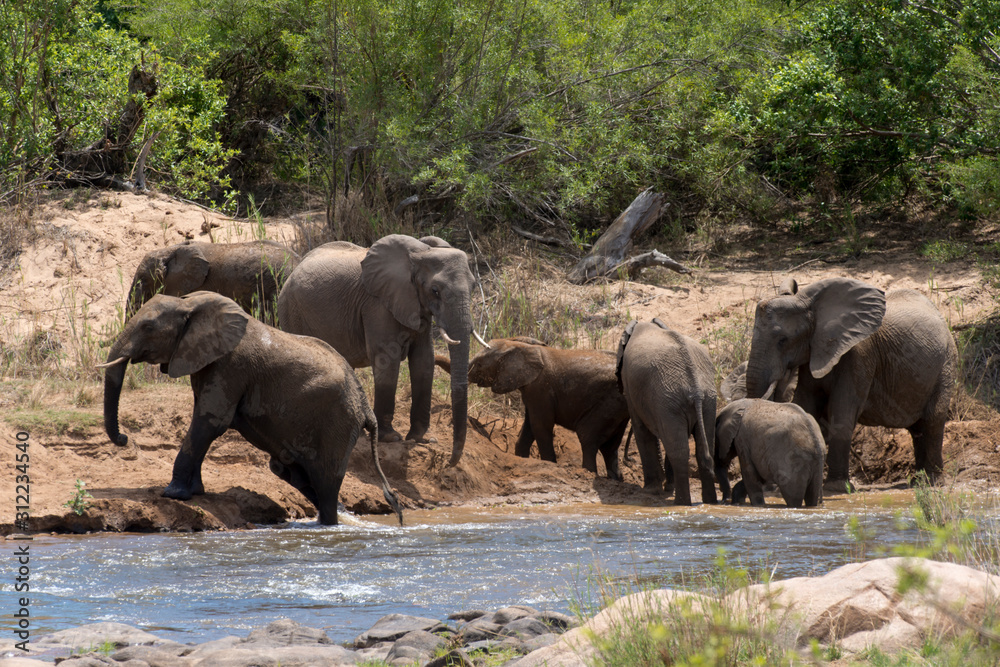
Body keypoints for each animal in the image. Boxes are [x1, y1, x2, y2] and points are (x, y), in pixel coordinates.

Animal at [100, 291, 402, 526]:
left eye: (148, 327)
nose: (124, 438)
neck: (189, 304)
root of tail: (366, 408)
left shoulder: (231, 365)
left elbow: (210, 421)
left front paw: (173, 494)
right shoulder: (207, 361)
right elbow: (203, 422)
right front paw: (195, 493)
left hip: (338, 424)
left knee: (326, 482)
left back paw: (328, 523)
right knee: (291, 472)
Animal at [277, 234, 488, 466]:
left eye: (474, 286)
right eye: (435, 290)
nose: (449, 462)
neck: (420, 253)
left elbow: (424, 360)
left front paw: (419, 438)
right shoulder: (376, 304)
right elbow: (387, 358)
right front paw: (391, 438)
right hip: (290, 310)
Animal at [465, 337, 629, 479]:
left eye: (479, 364)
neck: (520, 346)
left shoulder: (540, 388)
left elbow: (540, 425)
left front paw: (549, 464)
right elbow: (529, 427)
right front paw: (522, 459)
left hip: (607, 403)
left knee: (587, 437)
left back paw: (589, 473)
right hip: (619, 407)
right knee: (610, 447)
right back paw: (616, 479)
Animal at [615, 318, 718, 505]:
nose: (628, 459)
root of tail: (696, 388)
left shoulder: (630, 385)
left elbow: (642, 430)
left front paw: (651, 491)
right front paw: (665, 487)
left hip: (670, 399)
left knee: (679, 451)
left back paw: (681, 503)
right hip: (704, 400)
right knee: (700, 449)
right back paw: (709, 502)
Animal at [745, 277, 957, 490]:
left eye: (783, 340)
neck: (809, 304)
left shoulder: (860, 354)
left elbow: (843, 411)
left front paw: (836, 487)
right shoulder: (812, 352)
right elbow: (805, 404)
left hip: (946, 363)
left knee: (933, 419)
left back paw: (932, 481)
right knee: (917, 428)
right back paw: (918, 482)